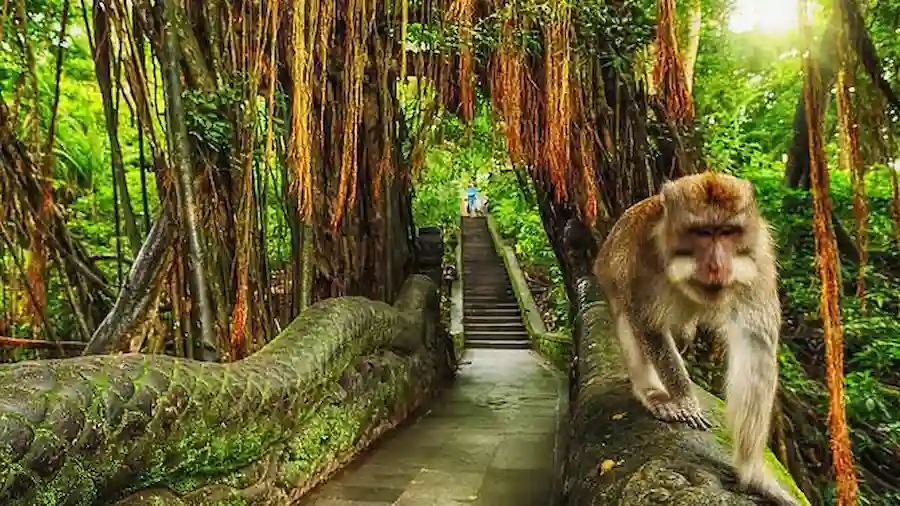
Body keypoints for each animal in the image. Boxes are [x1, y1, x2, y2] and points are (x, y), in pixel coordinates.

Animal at [594, 172, 800, 506]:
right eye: (702, 233)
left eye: (727, 232)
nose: (717, 266)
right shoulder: (643, 257)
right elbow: (648, 325)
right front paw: (685, 400)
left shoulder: (759, 258)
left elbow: (755, 345)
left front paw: (753, 474)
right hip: (609, 277)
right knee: (629, 319)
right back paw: (651, 391)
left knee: (681, 334)